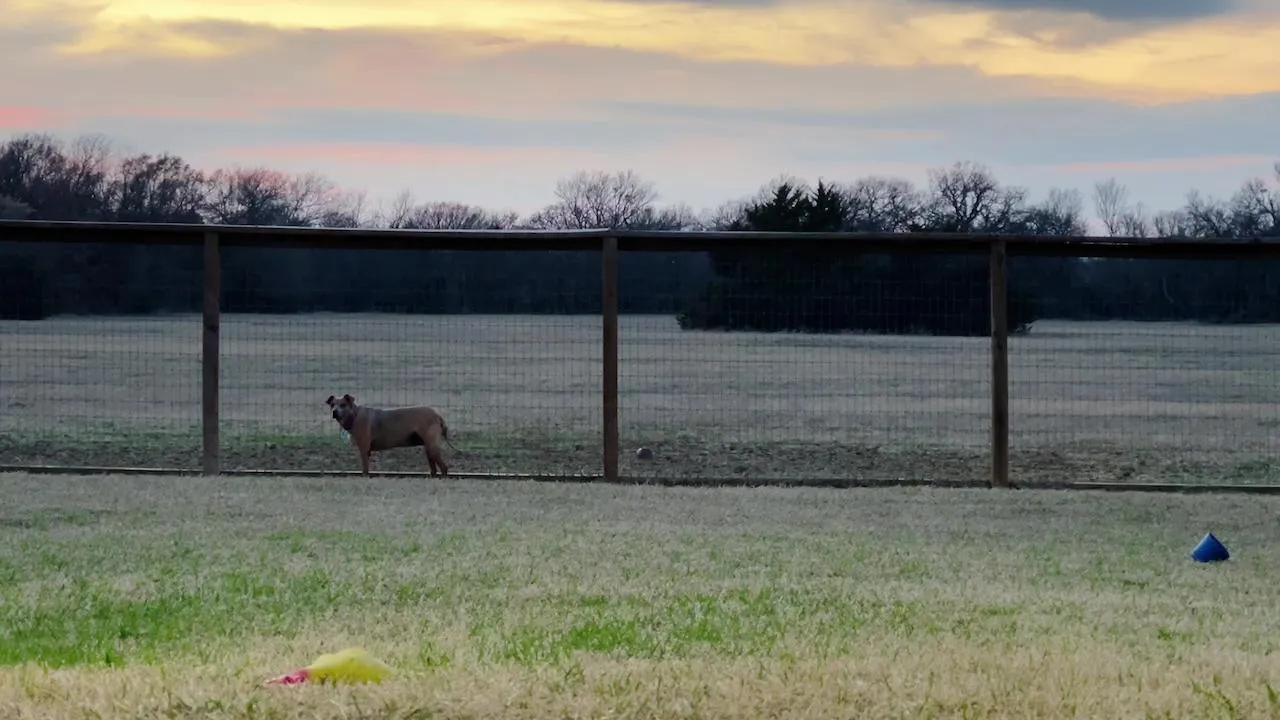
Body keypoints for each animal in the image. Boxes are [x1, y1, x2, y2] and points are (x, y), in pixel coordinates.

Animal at [325, 394, 457, 477]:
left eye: (343, 405)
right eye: (332, 404)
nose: (334, 412)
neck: (355, 415)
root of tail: (437, 415)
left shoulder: (364, 449)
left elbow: (365, 469)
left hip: (432, 446)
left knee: (444, 468)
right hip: (428, 447)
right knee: (434, 468)